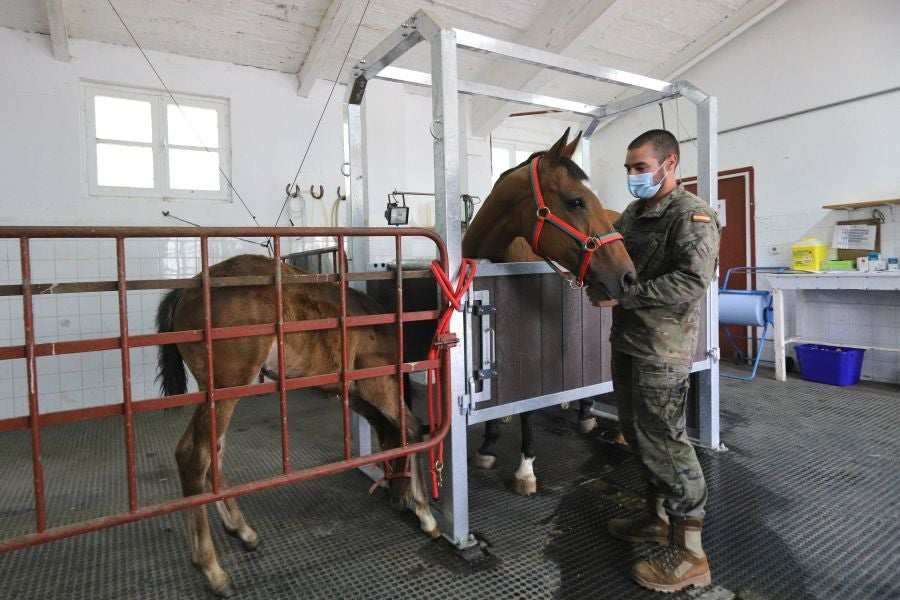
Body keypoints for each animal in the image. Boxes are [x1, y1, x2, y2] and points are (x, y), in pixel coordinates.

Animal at [157, 253, 440, 596]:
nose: (399, 502)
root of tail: (187, 291)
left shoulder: (350, 392)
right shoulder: (377, 383)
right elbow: (411, 428)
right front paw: (426, 514)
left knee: (215, 452)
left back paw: (242, 531)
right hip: (226, 390)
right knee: (193, 456)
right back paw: (212, 569)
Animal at [460, 129, 636, 494]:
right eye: (576, 201)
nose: (628, 276)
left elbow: (527, 405)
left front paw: (525, 469)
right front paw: (488, 446)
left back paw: (605, 424)